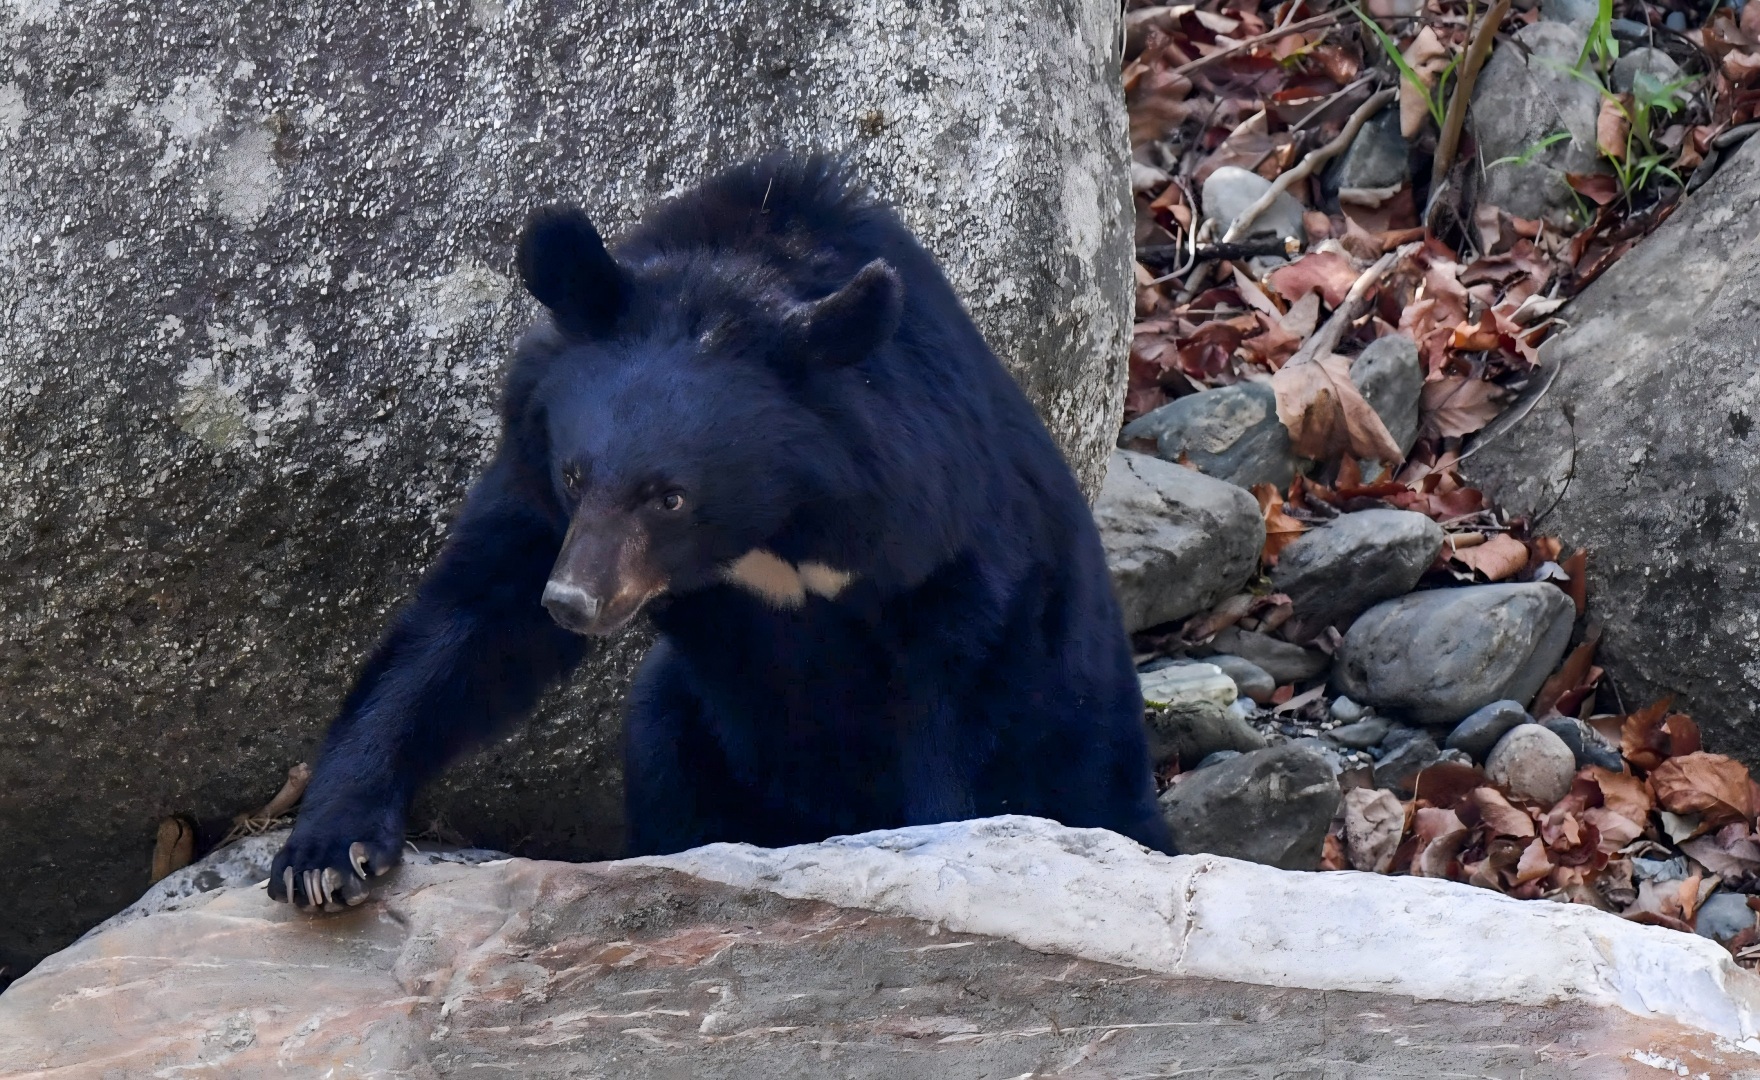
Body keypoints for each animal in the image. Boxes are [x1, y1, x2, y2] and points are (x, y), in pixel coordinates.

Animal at [269, 154, 1170, 911]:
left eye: (670, 497)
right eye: (575, 475)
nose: (573, 601)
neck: (775, 528)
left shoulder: (938, 532)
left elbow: (962, 714)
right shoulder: (534, 480)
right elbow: (472, 622)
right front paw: (327, 855)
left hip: (1087, 730)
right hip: (691, 718)